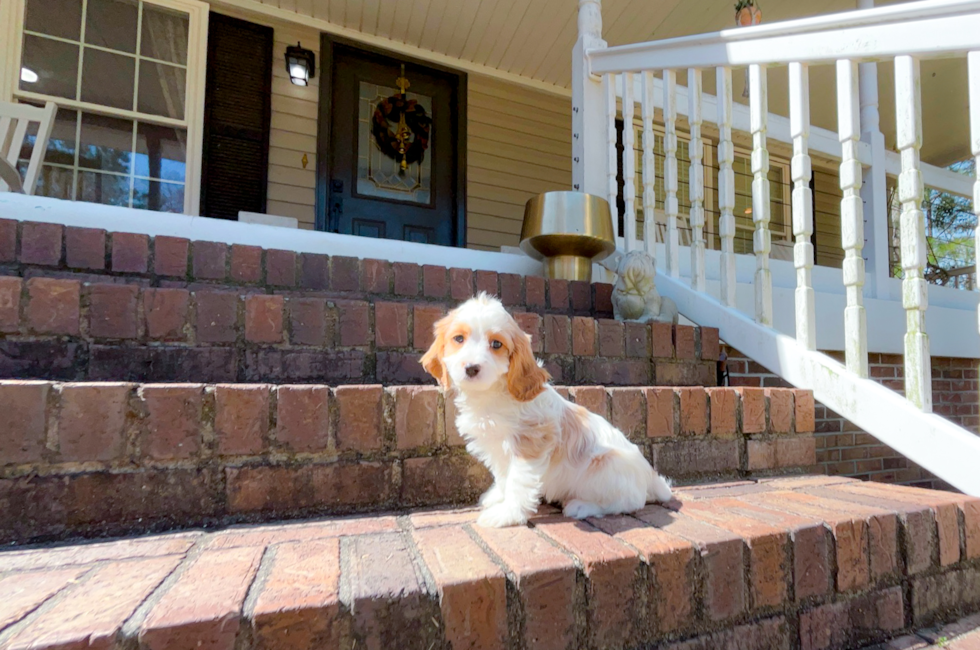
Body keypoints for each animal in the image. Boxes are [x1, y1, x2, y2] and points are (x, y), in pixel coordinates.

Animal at [422, 294, 672, 528]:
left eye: (496, 344)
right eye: (458, 339)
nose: (472, 368)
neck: (492, 394)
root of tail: (651, 477)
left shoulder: (532, 442)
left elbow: (518, 481)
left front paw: (507, 514)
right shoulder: (497, 448)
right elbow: (504, 476)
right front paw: (497, 498)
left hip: (606, 467)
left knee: (629, 502)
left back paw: (580, 506)